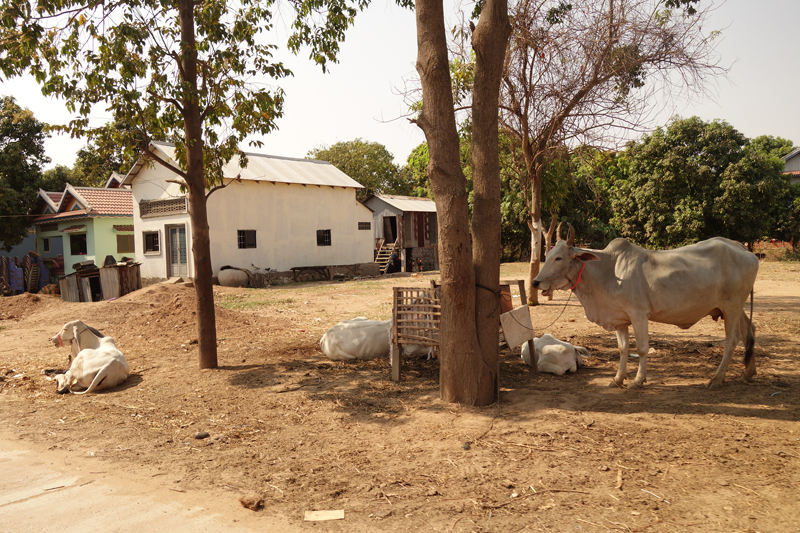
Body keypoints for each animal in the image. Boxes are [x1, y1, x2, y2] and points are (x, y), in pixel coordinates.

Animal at [532, 222, 756, 388]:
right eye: (547, 256)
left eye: (559, 257)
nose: (535, 282)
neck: (608, 270)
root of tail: (742, 248)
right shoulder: (620, 319)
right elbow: (623, 349)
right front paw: (617, 379)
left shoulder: (638, 314)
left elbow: (641, 348)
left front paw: (638, 381)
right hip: (736, 308)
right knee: (749, 330)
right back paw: (748, 373)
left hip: (732, 307)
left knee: (732, 340)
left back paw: (717, 379)